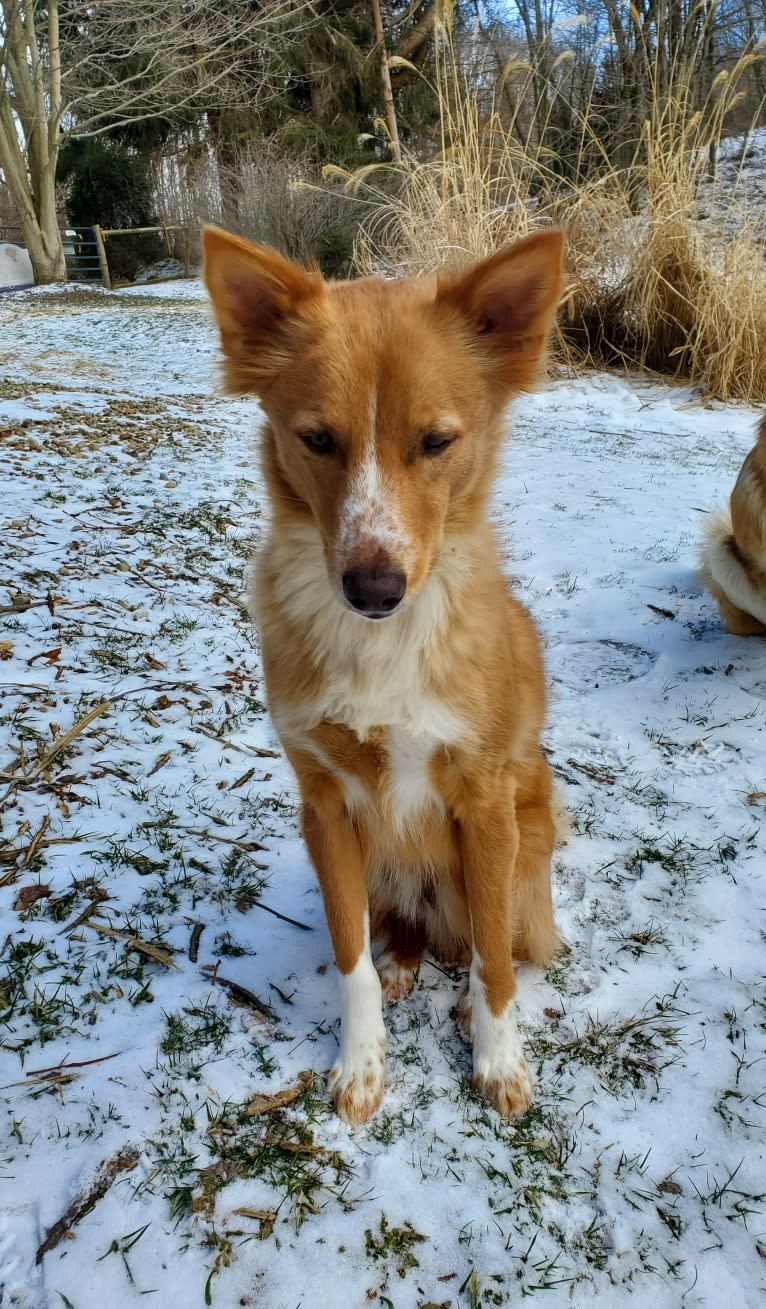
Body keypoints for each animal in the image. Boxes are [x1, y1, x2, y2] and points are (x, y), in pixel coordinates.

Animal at [202, 227, 560, 1125]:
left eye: (436, 441)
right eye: (317, 438)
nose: (373, 588)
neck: (381, 645)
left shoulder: (484, 801)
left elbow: (493, 961)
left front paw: (499, 1058)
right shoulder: (326, 807)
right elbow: (349, 955)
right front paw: (361, 1064)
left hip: (523, 844)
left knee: (493, 940)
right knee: (402, 927)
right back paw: (404, 957)